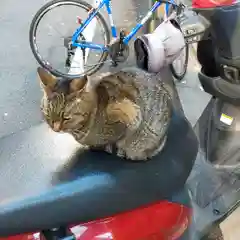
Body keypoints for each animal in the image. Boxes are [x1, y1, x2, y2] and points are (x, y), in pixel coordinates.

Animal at [38, 66, 172, 160]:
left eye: (66, 118)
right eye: (48, 114)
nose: (55, 129)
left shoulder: (132, 114)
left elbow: (115, 139)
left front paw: (107, 147)